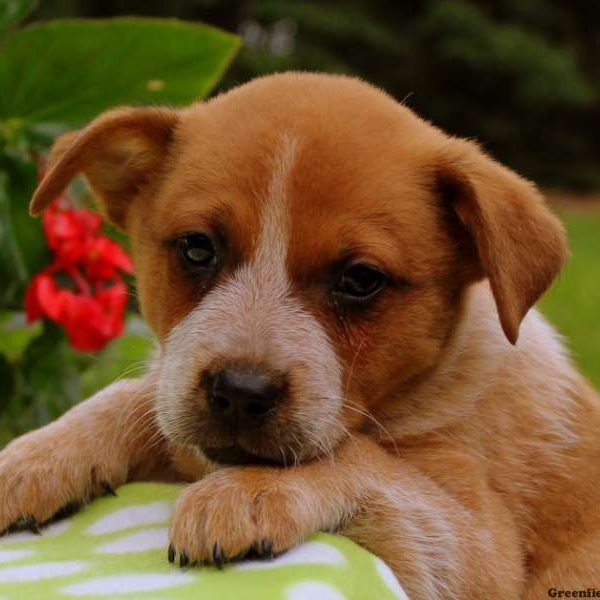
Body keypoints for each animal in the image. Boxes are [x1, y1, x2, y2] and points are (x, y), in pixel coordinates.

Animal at [1, 72, 600, 596]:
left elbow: (365, 462)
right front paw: (34, 457)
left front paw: (251, 490)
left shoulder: (476, 547)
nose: (240, 392)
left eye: (361, 279)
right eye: (197, 247)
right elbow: (134, 397)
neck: (429, 386)